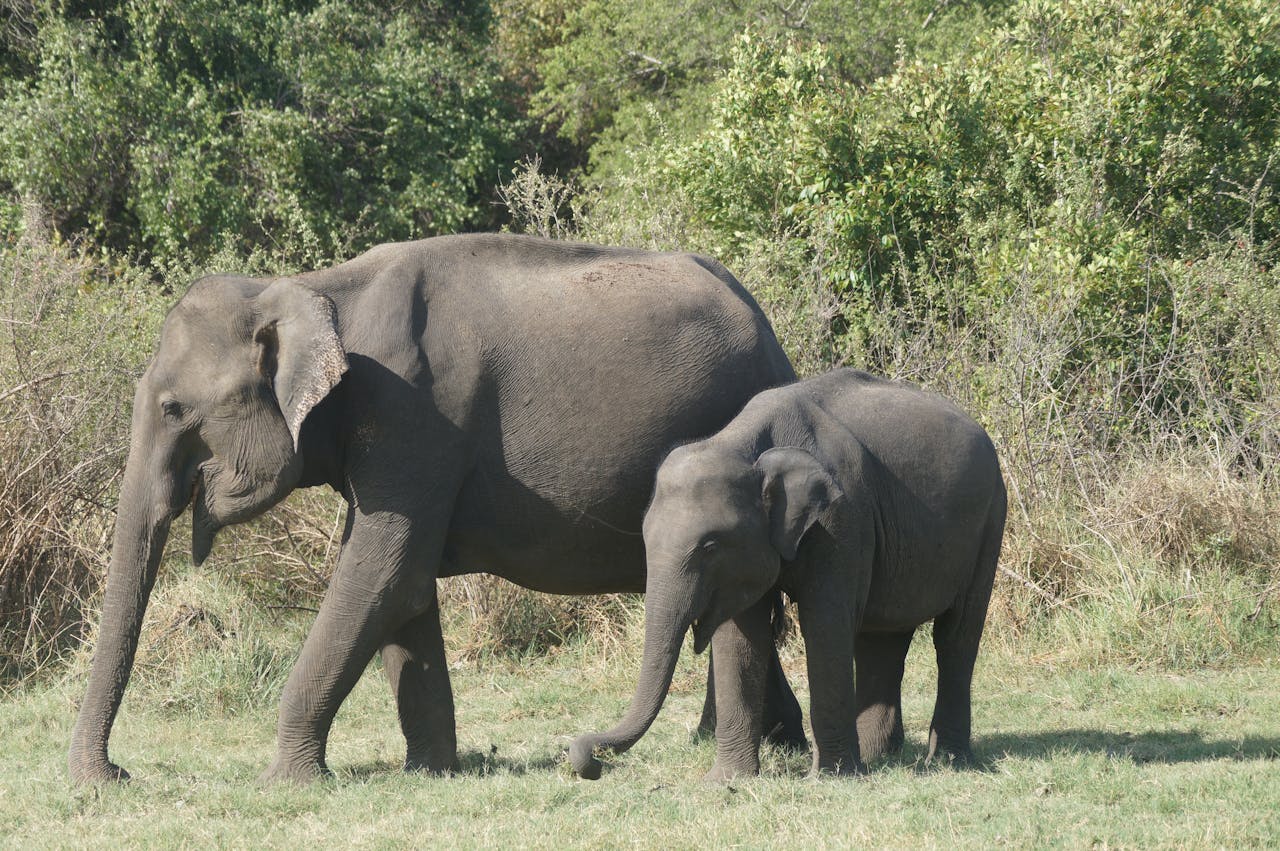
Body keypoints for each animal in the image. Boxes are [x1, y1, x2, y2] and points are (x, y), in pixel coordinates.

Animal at [66, 233, 809, 785]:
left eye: (172, 408)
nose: (115, 775)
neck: (311, 288)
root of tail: (770, 330)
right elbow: (404, 585)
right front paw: (430, 770)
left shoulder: (412, 419)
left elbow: (383, 573)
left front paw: (288, 780)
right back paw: (767, 743)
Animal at [570, 368, 1007, 780]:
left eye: (710, 546)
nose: (589, 760)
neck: (743, 444)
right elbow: (739, 637)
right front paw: (725, 781)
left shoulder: (842, 518)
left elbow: (825, 624)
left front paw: (828, 778)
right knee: (882, 637)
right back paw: (876, 758)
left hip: (990, 520)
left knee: (955, 636)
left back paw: (945, 760)